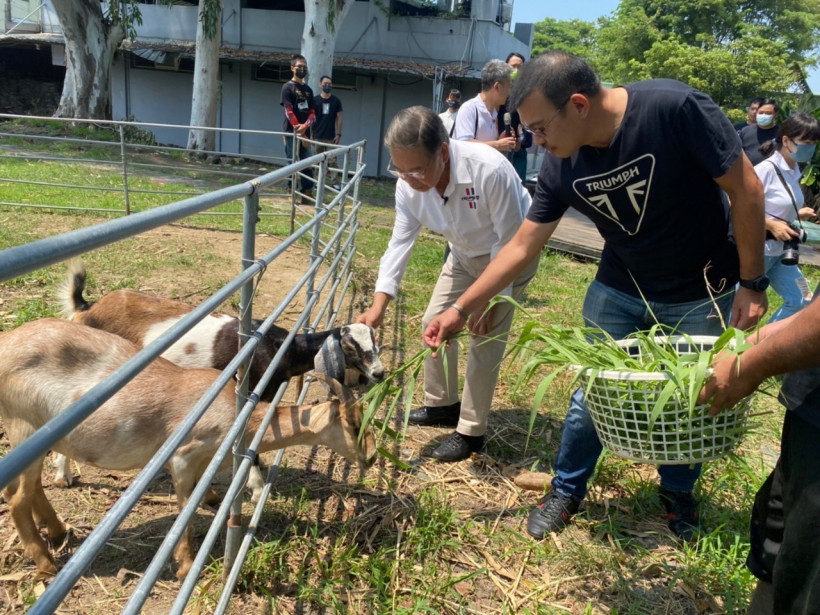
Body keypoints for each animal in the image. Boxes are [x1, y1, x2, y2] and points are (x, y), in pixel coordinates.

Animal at [0, 318, 376, 584]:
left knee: (27, 489)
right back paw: (47, 564)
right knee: (17, 500)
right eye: (353, 424)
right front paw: (185, 566)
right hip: (26, 427)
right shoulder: (183, 456)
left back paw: (58, 530)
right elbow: (185, 511)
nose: (371, 457)